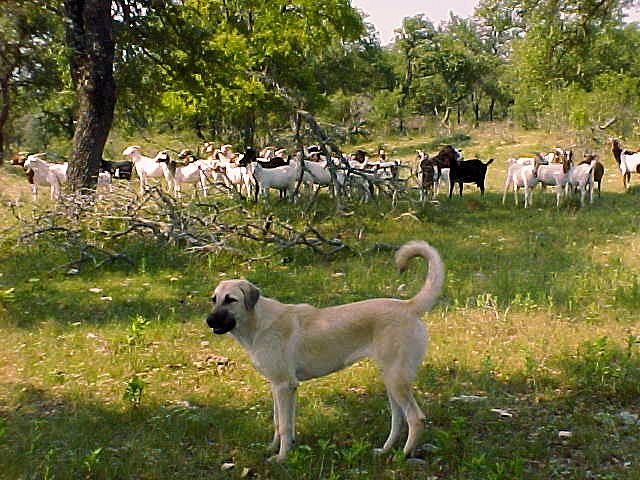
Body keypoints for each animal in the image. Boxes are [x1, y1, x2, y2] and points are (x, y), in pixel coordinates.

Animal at [208, 242, 442, 464]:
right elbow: (279, 422)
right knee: (398, 419)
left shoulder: (284, 385)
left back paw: (404, 454)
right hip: (391, 380)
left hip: (396, 380)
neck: (257, 323)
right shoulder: (278, 386)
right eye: (214, 299)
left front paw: (281, 458)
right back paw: (385, 450)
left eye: (230, 299)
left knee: (415, 418)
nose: (208, 321)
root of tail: (408, 306)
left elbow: (284, 426)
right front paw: (275, 448)